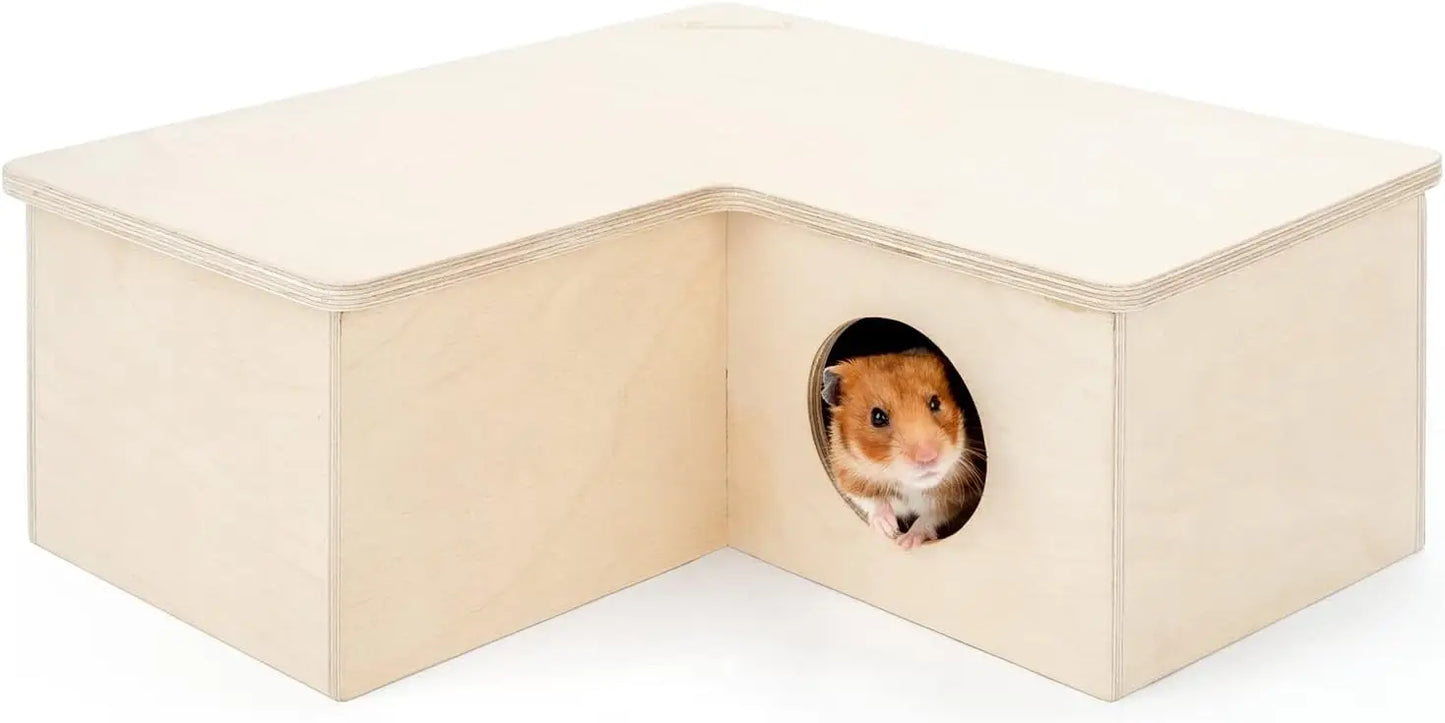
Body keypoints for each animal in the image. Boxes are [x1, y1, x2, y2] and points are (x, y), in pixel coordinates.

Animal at [820, 349, 982, 550]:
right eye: (877, 417)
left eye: (935, 403)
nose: (928, 457)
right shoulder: (845, 471)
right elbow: (868, 498)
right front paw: (888, 529)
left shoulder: (961, 494)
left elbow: (933, 514)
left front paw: (906, 543)